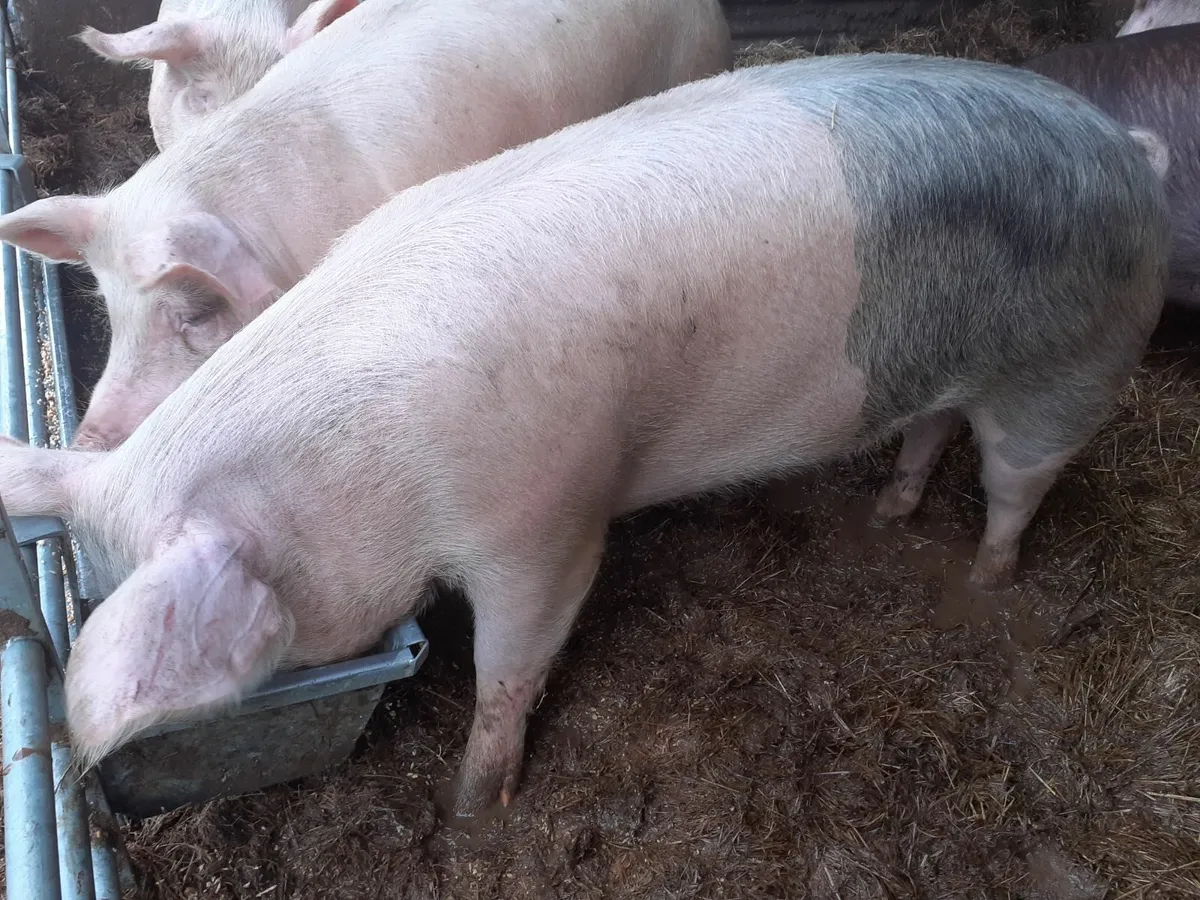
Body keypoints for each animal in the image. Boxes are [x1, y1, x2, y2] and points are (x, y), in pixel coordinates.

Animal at [0, 53, 1168, 815]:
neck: (359, 462)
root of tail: (1131, 150)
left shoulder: (546, 517)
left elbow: (513, 662)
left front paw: (473, 811)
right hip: (938, 366)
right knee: (931, 430)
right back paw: (889, 514)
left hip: (1078, 368)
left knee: (1017, 482)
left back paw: (985, 582)